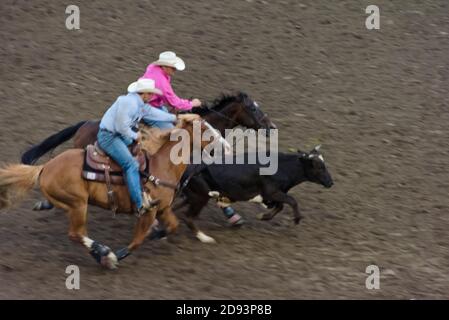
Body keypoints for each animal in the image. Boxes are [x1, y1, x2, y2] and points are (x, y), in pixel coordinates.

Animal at [0, 116, 226, 268]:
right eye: (204, 128)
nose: (225, 145)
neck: (162, 165)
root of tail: (45, 167)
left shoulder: (162, 209)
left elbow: (173, 226)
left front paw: (157, 234)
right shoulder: (149, 211)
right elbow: (137, 241)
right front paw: (118, 254)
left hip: (72, 204)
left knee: (78, 234)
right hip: (78, 205)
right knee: (76, 234)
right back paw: (105, 254)